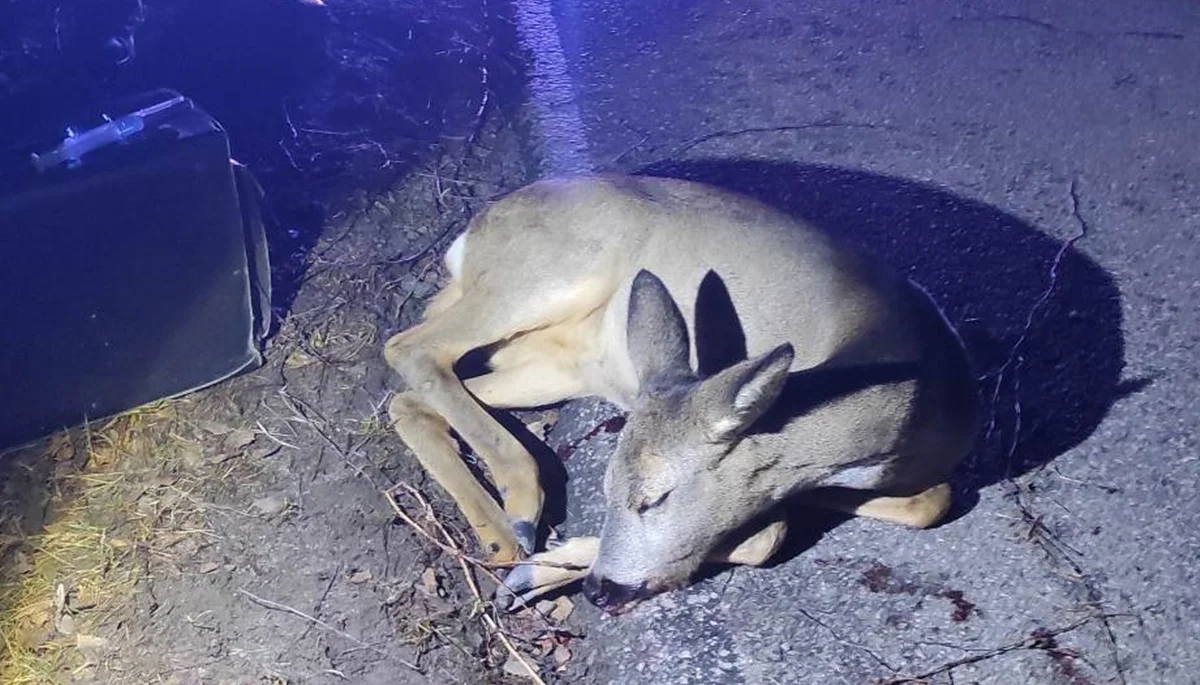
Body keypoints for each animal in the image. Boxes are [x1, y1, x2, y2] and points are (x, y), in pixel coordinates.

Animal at [384, 171, 974, 614]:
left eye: (656, 497)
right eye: (606, 485)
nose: (598, 592)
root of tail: (469, 237)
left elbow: (933, 500)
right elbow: (772, 533)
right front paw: (549, 570)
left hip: (558, 362)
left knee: (410, 397)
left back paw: (500, 535)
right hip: (551, 272)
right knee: (409, 345)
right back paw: (521, 509)